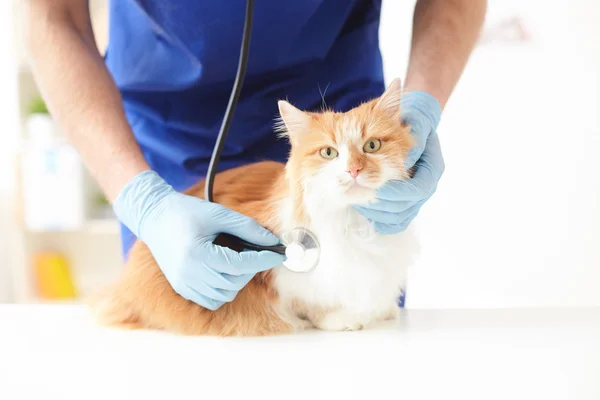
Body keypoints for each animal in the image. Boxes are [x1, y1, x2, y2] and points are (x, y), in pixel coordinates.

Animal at [88, 78, 418, 334]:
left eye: (372, 146)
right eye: (329, 153)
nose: (354, 170)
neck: (354, 222)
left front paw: (382, 310)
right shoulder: (286, 279)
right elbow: (309, 304)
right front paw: (340, 318)